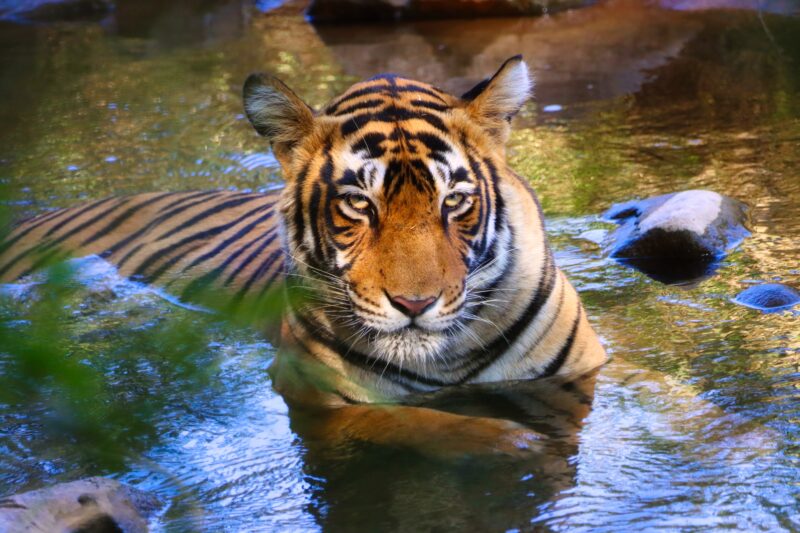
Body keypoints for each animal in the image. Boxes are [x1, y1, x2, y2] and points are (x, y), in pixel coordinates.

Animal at [0, 56, 607, 457]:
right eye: (359, 204)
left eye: (453, 201)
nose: (415, 304)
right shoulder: (314, 399)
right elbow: (425, 422)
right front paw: (514, 440)